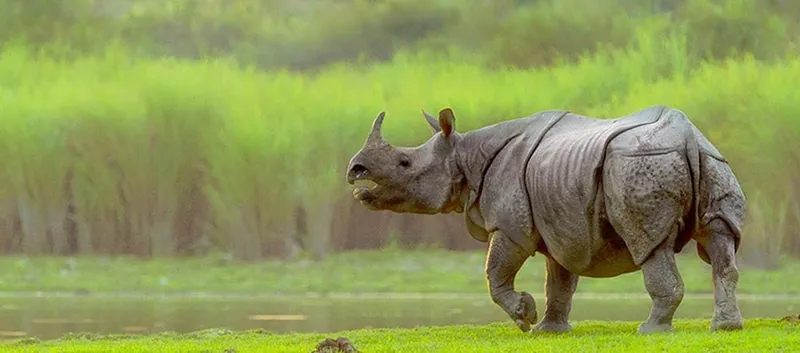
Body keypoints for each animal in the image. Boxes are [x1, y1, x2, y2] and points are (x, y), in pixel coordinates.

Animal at [346, 104, 748, 332]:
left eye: (404, 163)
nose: (355, 171)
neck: (464, 154)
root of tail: (688, 139)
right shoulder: (561, 222)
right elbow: (559, 279)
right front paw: (549, 330)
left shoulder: (510, 224)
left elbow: (495, 272)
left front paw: (524, 317)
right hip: (714, 161)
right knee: (720, 240)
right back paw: (725, 328)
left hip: (637, 165)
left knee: (649, 244)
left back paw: (650, 330)